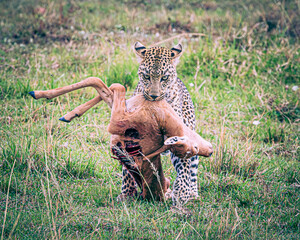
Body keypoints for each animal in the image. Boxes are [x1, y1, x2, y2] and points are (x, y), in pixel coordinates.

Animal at [118, 41, 200, 206]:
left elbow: (184, 166)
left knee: (192, 167)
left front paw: (181, 193)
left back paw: (192, 194)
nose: (154, 96)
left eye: (165, 78)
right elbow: (128, 169)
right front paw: (127, 194)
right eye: (146, 76)